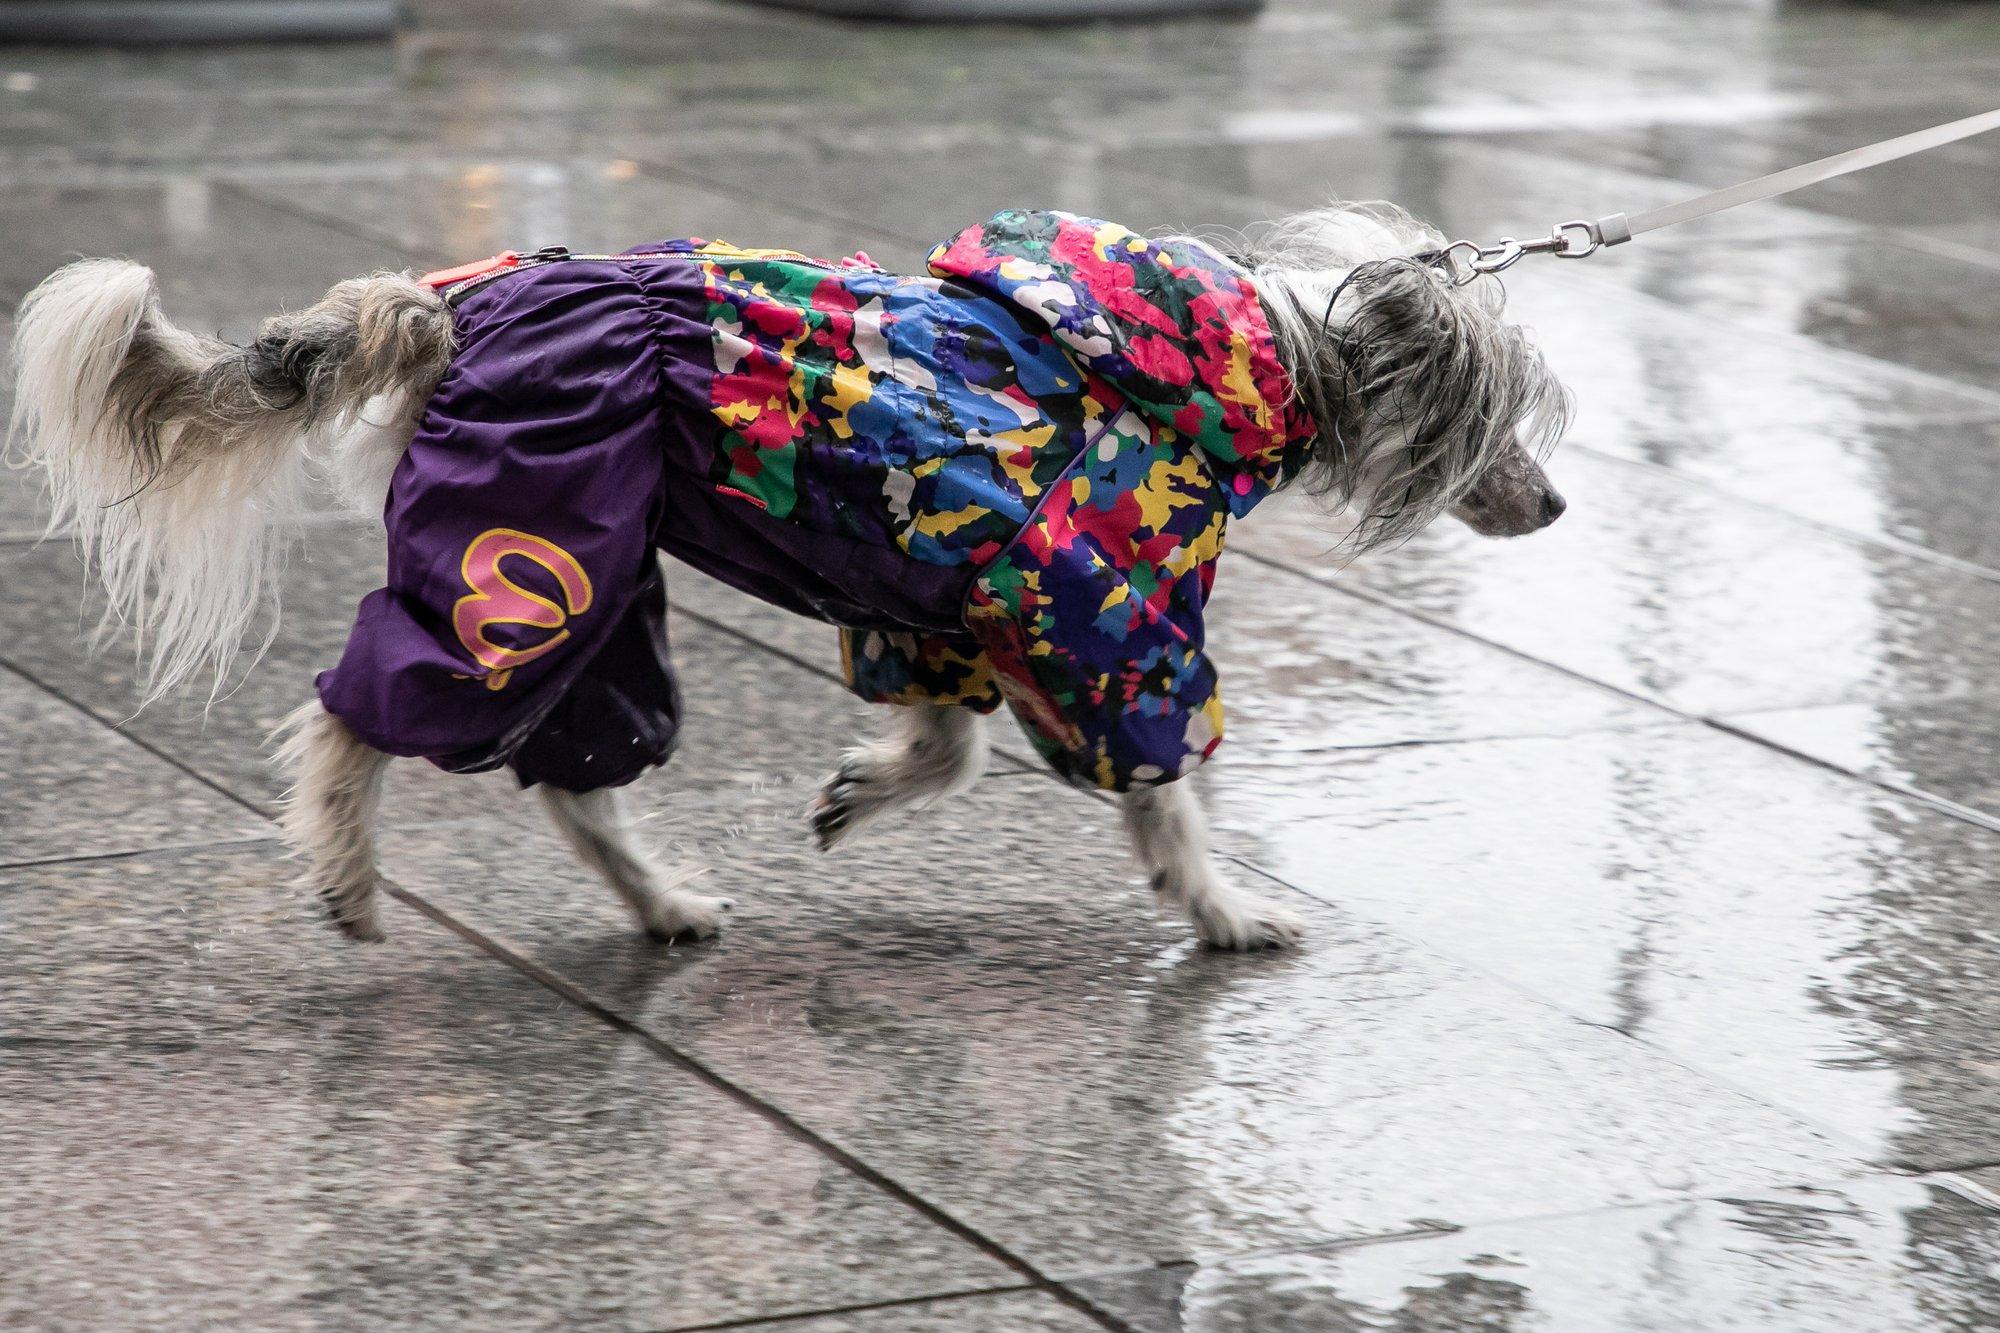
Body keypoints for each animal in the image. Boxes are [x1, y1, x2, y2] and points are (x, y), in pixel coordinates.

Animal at [3, 200, 1560, 944]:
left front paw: (856, 793)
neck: (1245, 360)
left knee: (574, 772)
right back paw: (342, 876)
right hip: (523, 549)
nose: (1554, 506)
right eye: (1500, 425)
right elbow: (1163, 793)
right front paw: (1228, 912)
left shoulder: (942, 605)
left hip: (591, 567)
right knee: (353, 718)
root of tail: (448, 305)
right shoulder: (1103, 623)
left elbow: (942, 751)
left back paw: (663, 904)